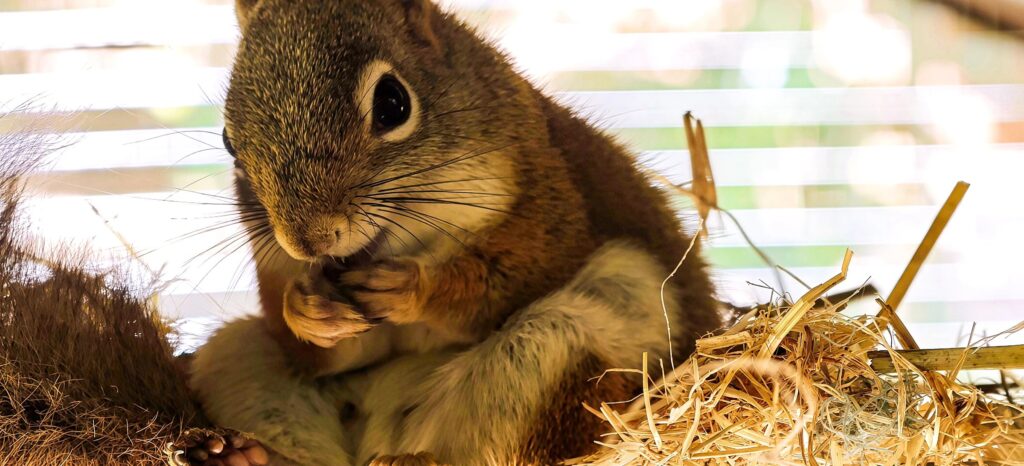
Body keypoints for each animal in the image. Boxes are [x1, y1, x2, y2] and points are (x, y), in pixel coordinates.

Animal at [186, 0, 723, 465]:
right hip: (237, 362)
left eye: (393, 104)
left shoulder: (553, 204)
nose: (308, 240)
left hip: (557, 348)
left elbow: (516, 275)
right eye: (228, 142)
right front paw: (305, 307)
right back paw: (237, 455)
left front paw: (414, 287)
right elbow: (323, 351)